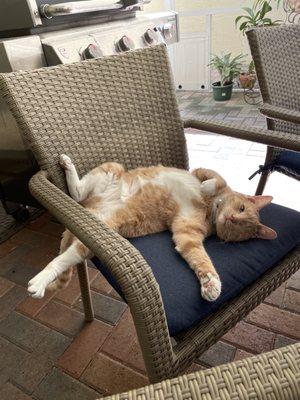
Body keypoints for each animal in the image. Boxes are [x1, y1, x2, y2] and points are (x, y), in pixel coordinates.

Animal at [28, 155, 276, 302]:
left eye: (238, 230)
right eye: (241, 208)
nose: (231, 218)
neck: (208, 208)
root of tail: (91, 209)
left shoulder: (186, 234)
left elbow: (200, 258)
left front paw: (211, 283)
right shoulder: (200, 170)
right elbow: (216, 179)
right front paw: (207, 187)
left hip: (94, 238)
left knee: (63, 257)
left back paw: (40, 281)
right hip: (111, 169)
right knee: (77, 192)